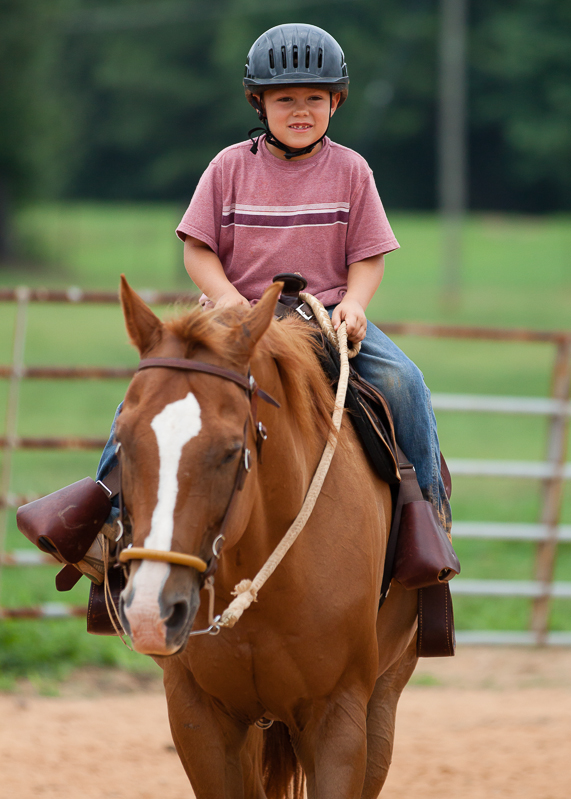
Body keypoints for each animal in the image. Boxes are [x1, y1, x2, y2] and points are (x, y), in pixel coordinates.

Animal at [117, 276, 420, 799]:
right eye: (121, 442)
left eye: (230, 450)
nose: (151, 612)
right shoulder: (198, 717)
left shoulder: (338, 720)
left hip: (384, 699)